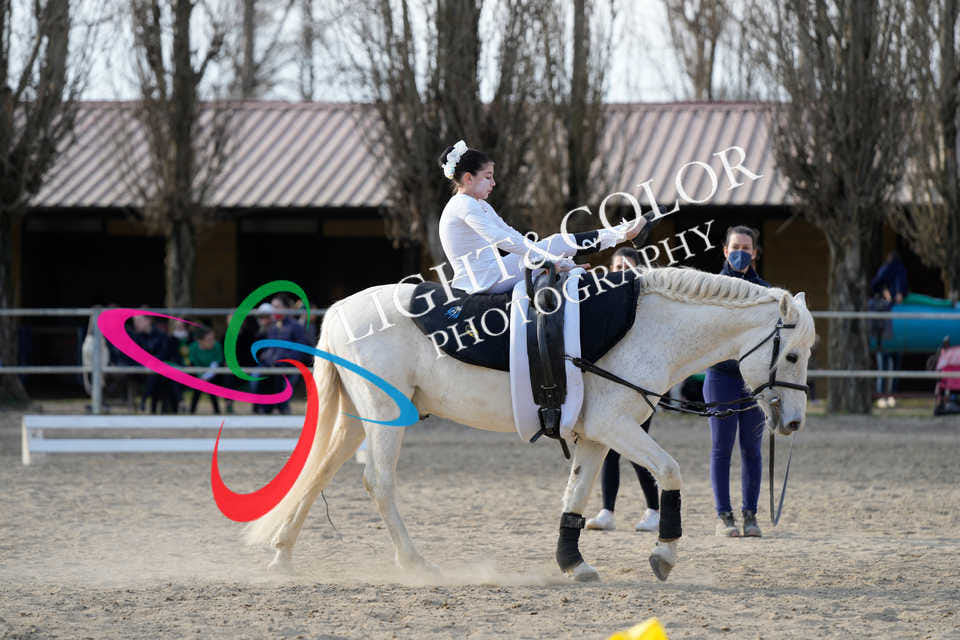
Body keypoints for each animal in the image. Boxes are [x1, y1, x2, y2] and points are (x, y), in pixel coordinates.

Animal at [244, 266, 816, 582]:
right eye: (790, 354)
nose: (792, 422)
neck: (645, 326)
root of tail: (340, 311)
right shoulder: (617, 427)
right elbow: (671, 471)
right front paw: (664, 553)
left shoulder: (597, 434)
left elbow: (577, 495)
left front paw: (572, 562)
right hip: (386, 418)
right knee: (377, 482)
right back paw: (414, 563)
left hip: (358, 419)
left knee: (320, 471)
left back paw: (282, 556)